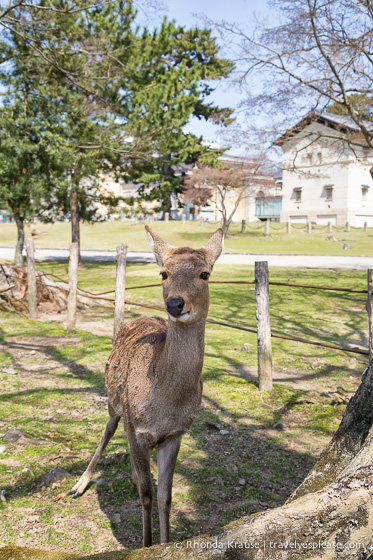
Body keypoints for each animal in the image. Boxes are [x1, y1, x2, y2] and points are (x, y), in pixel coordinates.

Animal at [62, 225, 222, 544]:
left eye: (205, 273)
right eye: (163, 273)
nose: (175, 303)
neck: (164, 407)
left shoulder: (176, 434)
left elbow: (165, 497)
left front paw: (165, 543)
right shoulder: (137, 428)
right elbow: (147, 496)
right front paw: (145, 545)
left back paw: (134, 475)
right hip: (114, 401)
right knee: (108, 430)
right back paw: (79, 485)